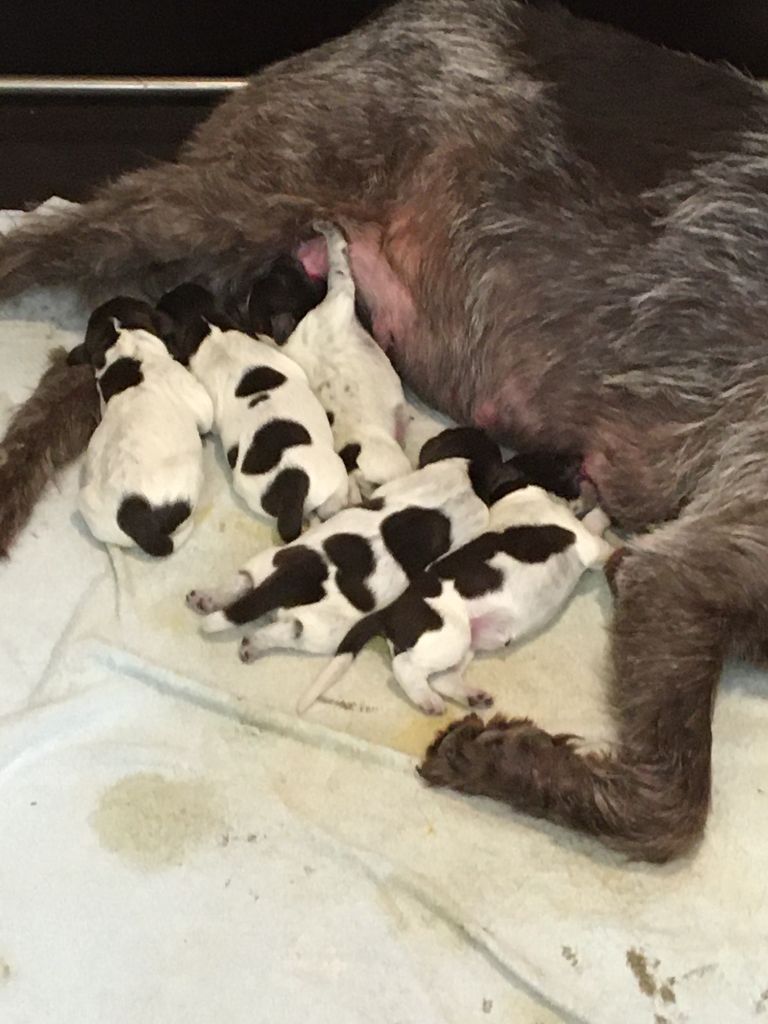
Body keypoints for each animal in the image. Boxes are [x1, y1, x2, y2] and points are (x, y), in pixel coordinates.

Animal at [249, 220, 411, 499]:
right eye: (284, 277)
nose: (283, 254)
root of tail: (356, 475)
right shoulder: (341, 292)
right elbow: (339, 259)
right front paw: (328, 230)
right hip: (394, 463)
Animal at [299, 452, 614, 716]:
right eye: (560, 465)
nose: (583, 461)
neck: (518, 491)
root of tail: (387, 612)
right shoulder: (588, 544)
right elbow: (599, 532)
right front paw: (608, 518)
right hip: (450, 636)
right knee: (406, 668)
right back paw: (428, 701)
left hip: (466, 643)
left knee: (442, 679)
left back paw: (471, 697)